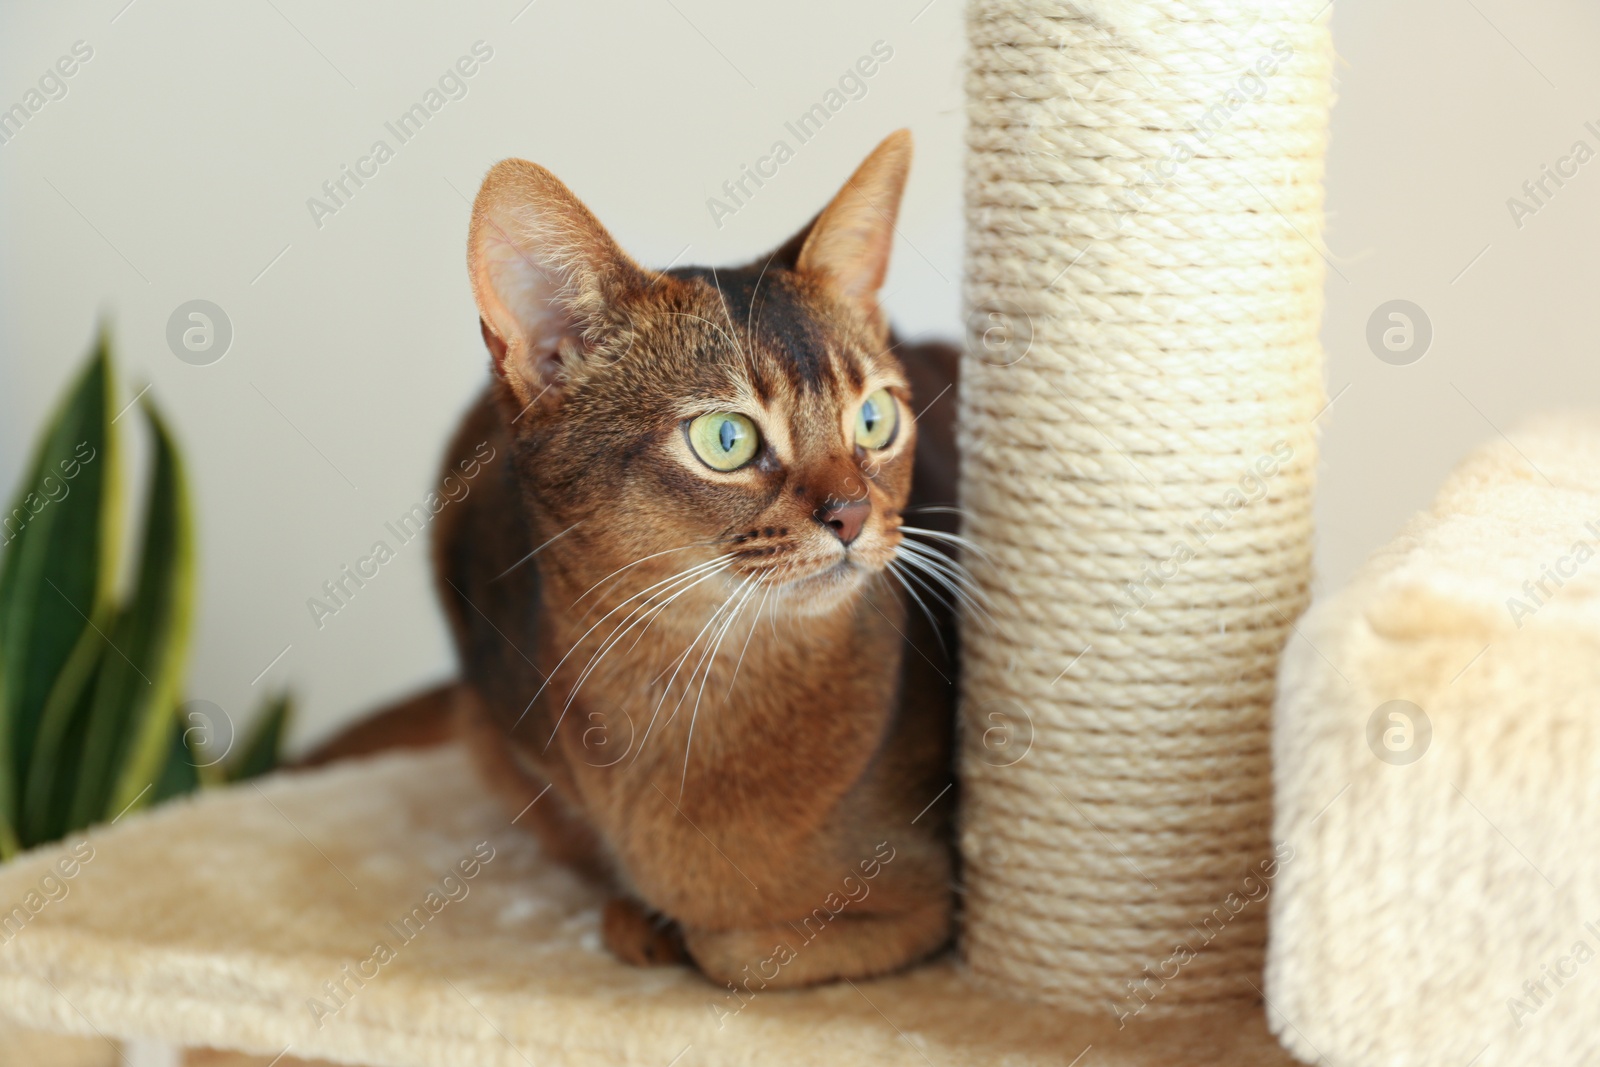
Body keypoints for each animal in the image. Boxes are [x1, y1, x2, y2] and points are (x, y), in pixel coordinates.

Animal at [432, 129, 953, 991]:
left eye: (875, 420)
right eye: (725, 438)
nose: (851, 513)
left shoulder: (938, 896)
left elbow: (737, 949)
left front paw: (668, 924)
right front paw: (637, 913)